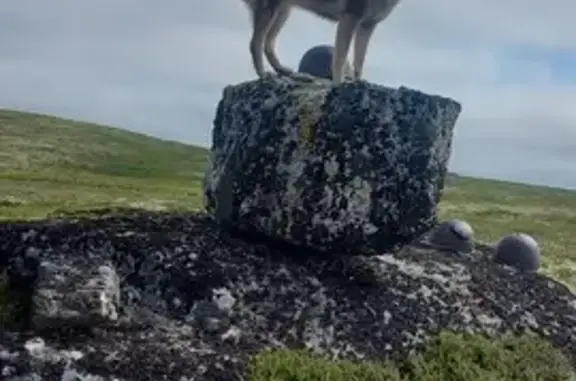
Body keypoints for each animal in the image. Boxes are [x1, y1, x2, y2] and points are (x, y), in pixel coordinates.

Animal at [240, 0, 400, 83]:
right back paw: (263, 74)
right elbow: (340, 60)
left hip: (283, 11)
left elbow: (359, 61)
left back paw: (281, 69)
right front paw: (339, 84)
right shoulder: (349, 19)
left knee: (268, 43)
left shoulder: (367, 26)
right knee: (255, 43)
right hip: (271, 9)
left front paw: (357, 82)